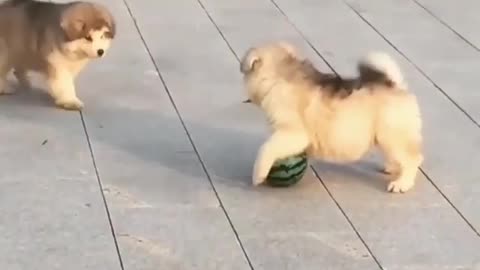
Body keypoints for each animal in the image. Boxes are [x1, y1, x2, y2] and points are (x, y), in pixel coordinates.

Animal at [242, 41, 422, 194]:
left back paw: (401, 184)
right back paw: (391, 167)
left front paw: (258, 175)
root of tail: (396, 86)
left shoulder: (293, 133)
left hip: (392, 135)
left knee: (413, 158)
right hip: (387, 136)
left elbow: (267, 148)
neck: (279, 77)